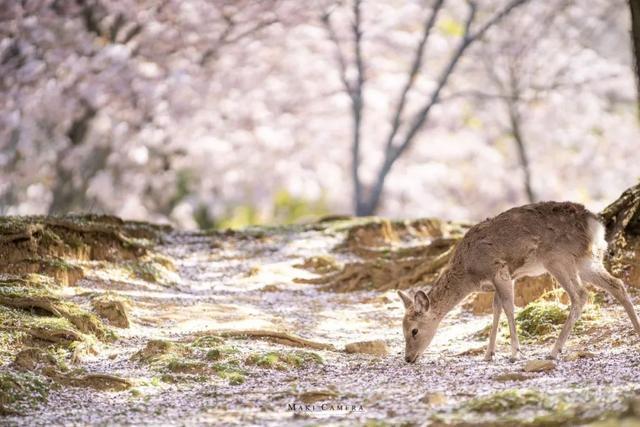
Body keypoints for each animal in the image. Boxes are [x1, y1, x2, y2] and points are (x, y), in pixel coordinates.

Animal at [398, 202, 640, 362]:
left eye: (414, 331)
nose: (408, 358)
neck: (469, 273)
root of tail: (596, 226)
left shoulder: (499, 270)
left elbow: (508, 307)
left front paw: (514, 353)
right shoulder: (502, 279)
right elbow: (496, 309)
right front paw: (489, 354)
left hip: (558, 259)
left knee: (580, 295)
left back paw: (553, 351)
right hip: (587, 260)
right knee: (617, 284)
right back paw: (637, 332)